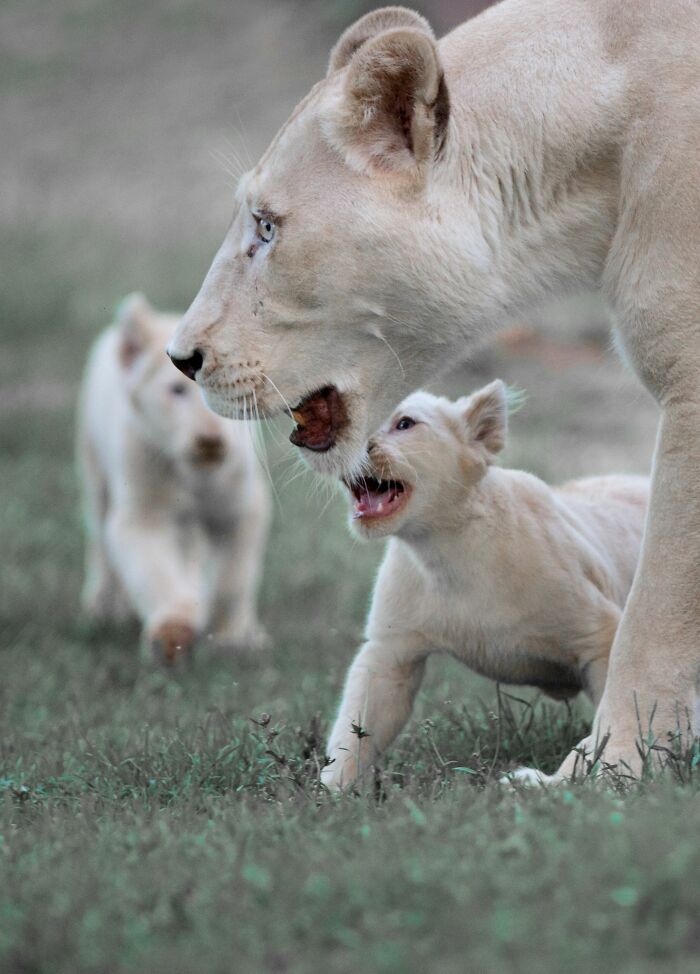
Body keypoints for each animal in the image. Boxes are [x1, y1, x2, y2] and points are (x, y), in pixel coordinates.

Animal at [77, 293, 271, 665]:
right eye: (177, 390)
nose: (210, 441)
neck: (196, 475)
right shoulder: (142, 494)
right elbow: (154, 568)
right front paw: (172, 635)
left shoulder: (240, 501)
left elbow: (233, 576)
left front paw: (234, 638)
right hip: (95, 464)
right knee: (100, 537)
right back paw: (103, 607)